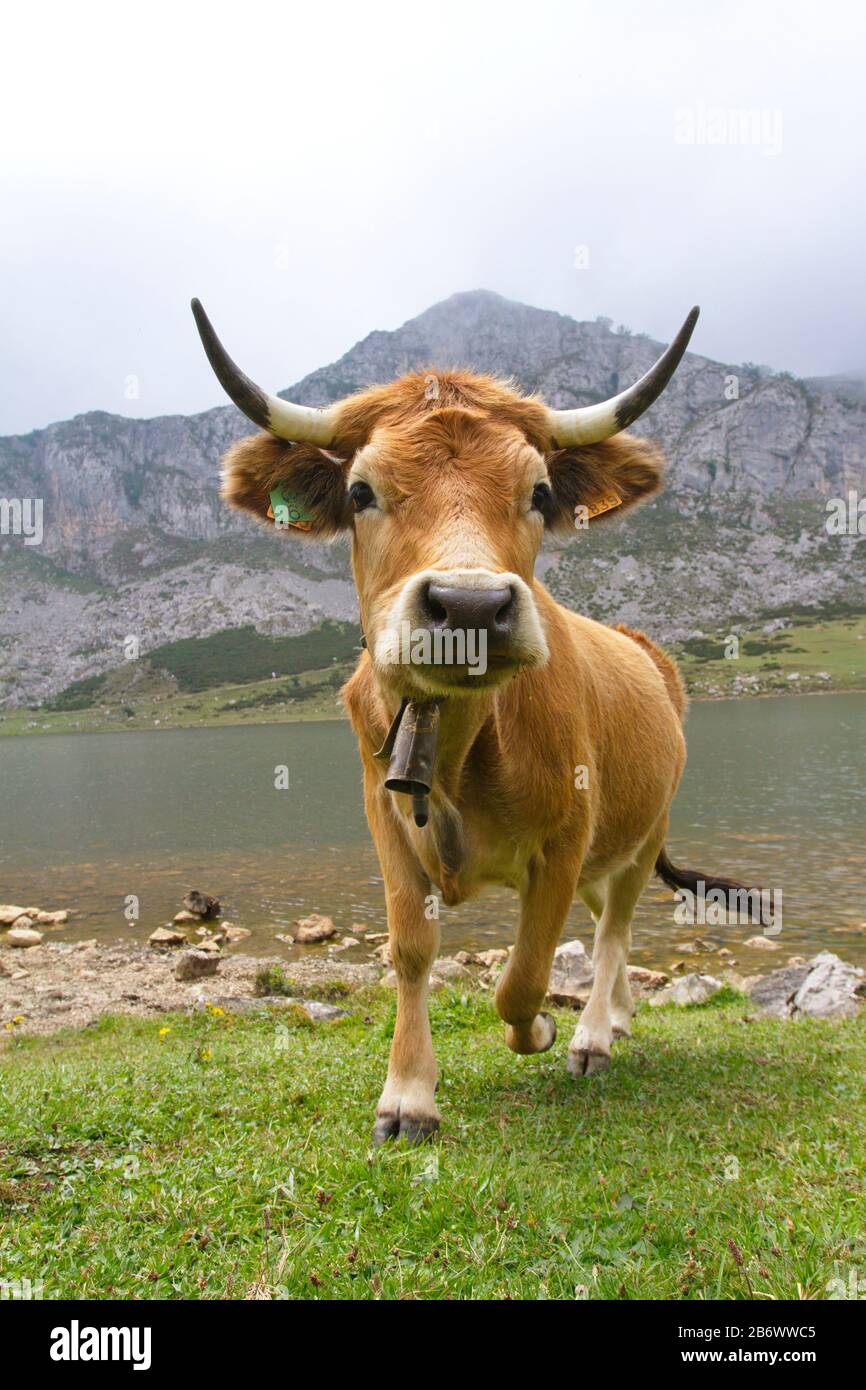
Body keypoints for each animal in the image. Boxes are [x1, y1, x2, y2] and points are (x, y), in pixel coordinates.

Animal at [193, 301, 761, 1139]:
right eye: (360, 491)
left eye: (539, 492)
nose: (467, 607)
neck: (455, 737)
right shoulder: (386, 819)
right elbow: (411, 949)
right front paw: (407, 1095)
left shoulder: (565, 839)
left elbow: (522, 977)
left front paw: (546, 1029)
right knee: (608, 928)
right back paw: (620, 1017)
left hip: (642, 829)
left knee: (614, 929)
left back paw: (594, 1034)